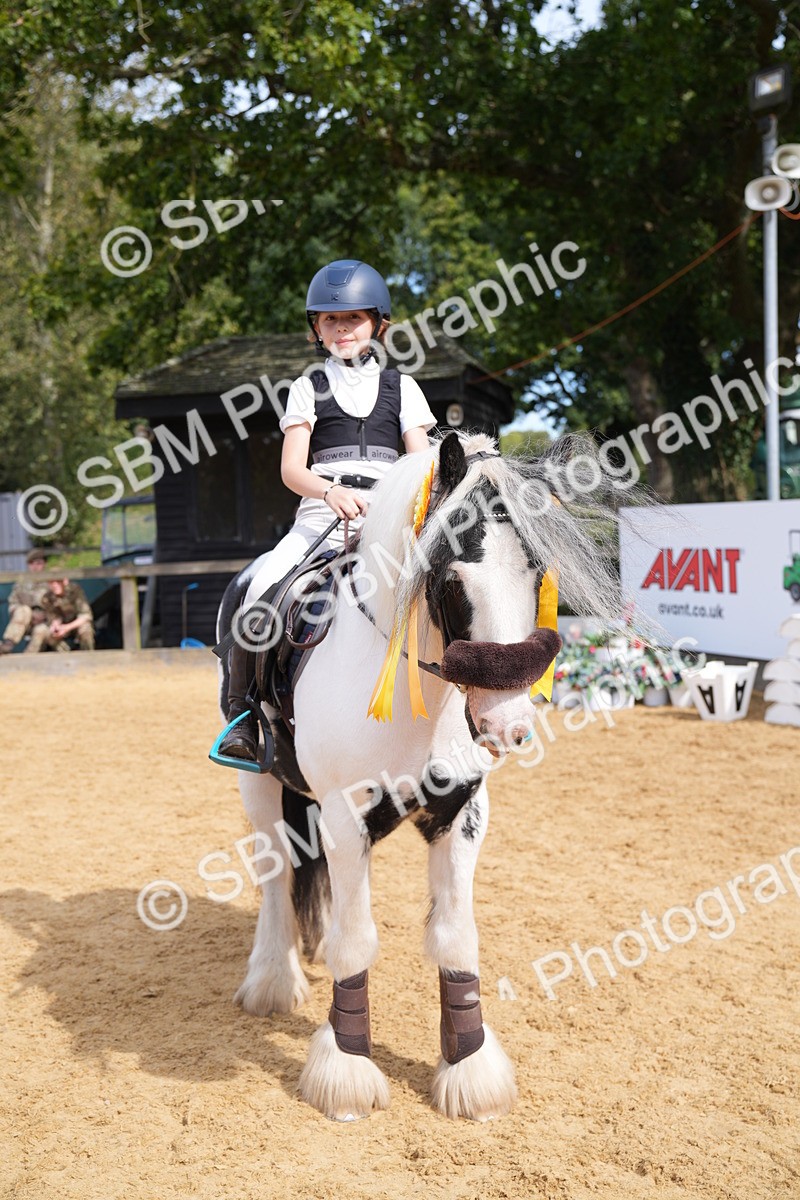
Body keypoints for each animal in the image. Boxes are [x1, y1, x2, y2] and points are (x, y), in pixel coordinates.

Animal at [215, 430, 623, 1122]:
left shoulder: (462, 813)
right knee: (273, 876)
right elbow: (357, 941)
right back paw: (272, 980)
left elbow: (456, 940)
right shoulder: (344, 815)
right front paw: (347, 1071)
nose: (508, 722)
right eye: (451, 576)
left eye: (535, 572)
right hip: (260, 784)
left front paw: (470, 1072)